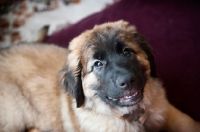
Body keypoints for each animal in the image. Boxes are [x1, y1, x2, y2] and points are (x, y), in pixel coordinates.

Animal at [0, 20, 200, 131]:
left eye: (127, 52)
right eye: (98, 64)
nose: (127, 81)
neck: (132, 115)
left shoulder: (167, 110)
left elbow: (188, 123)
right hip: (13, 118)